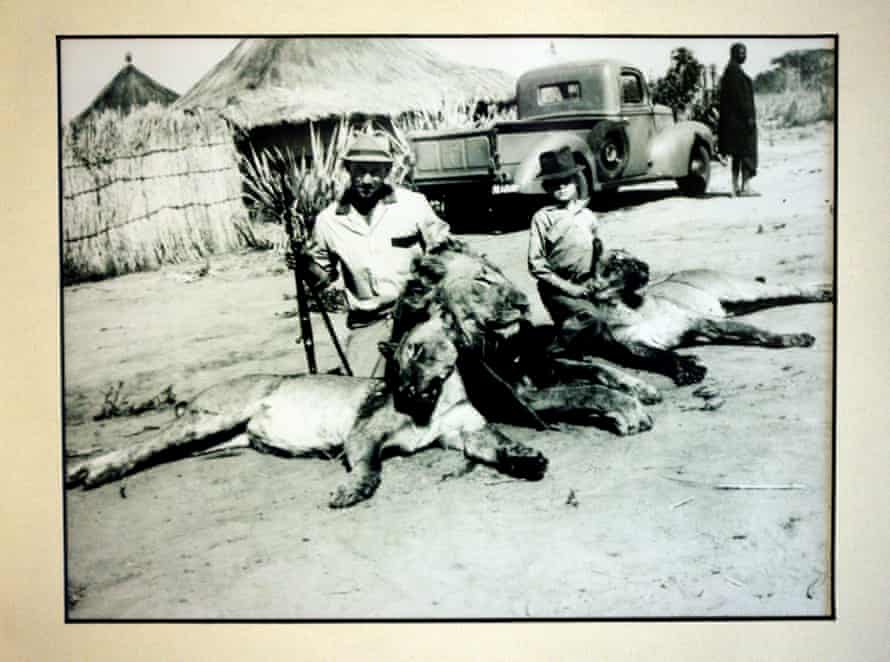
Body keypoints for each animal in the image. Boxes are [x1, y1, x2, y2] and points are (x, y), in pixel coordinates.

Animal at [560, 248, 828, 384]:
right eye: (617, 262)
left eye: (633, 256)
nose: (645, 265)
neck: (628, 304)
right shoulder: (635, 347)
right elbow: (664, 357)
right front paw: (687, 369)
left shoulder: (702, 322)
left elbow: (758, 332)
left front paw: (794, 338)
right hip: (740, 303)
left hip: (746, 292)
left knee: (792, 289)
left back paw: (825, 291)